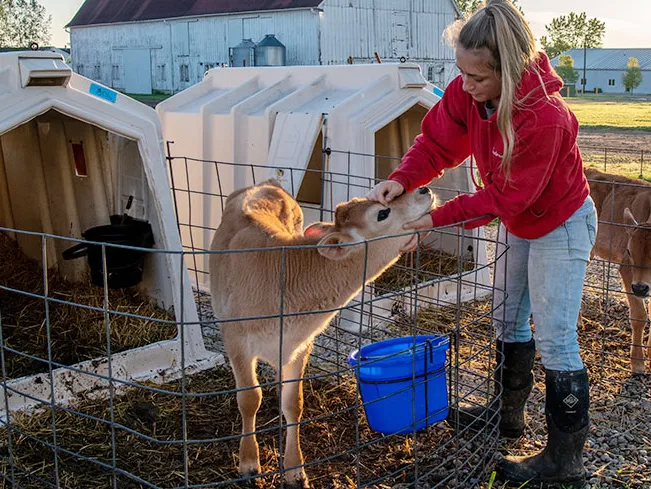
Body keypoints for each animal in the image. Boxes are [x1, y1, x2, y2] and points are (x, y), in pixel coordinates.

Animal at [209, 180, 436, 488]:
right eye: (382, 213)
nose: (424, 189)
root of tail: (266, 184)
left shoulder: (300, 344)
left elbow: (293, 403)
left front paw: (295, 470)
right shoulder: (237, 341)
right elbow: (249, 398)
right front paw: (248, 463)